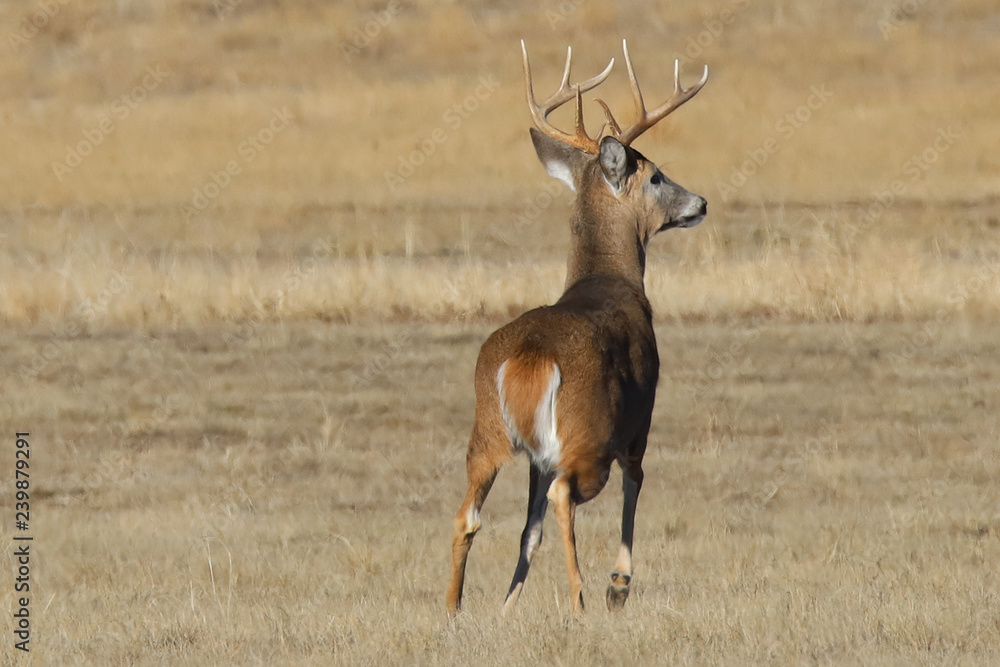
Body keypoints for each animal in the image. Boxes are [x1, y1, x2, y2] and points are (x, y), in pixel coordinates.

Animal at [446, 39, 708, 617]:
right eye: (656, 175)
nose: (701, 202)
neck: (607, 279)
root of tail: (531, 357)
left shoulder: (536, 458)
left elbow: (528, 530)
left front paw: (508, 604)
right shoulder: (641, 415)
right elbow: (637, 481)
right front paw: (619, 583)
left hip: (488, 433)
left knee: (471, 515)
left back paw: (454, 609)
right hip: (588, 431)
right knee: (566, 496)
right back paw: (583, 599)